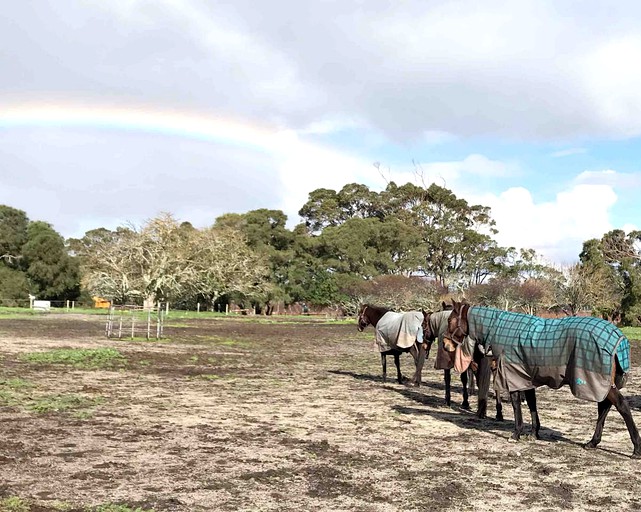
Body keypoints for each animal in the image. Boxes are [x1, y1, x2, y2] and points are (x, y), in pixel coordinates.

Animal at [440, 298, 640, 458]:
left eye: (450, 319)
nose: (445, 344)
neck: (502, 330)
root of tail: (618, 337)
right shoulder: (526, 377)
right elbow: (532, 404)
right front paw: (534, 432)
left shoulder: (513, 377)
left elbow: (516, 405)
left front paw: (516, 433)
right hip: (601, 383)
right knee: (604, 407)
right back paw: (593, 442)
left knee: (621, 405)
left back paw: (636, 448)